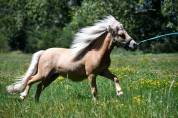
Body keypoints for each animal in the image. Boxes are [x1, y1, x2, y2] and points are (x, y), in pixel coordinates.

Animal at [6, 15, 138, 101]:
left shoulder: (103, 71)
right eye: (121, 34)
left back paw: (36, 102)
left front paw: (120, 93)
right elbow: (94, 90)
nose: (135, 45)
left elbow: (115, 78)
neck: (96, 53)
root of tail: (43, 53)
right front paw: (96, 103)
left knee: (39, 86)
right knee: (30, 80)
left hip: (52, 76)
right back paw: (23, 96)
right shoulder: (91, 74)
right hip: (43, 74)